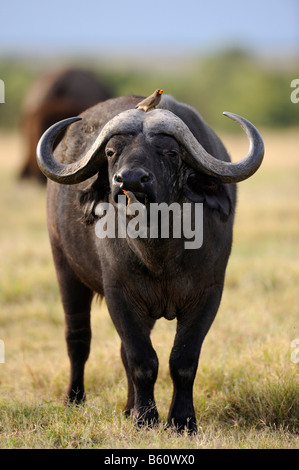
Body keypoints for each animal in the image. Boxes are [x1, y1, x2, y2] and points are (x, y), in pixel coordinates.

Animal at [36, 94, 264, 434]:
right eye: (111, 152)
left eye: (170, 152)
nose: (130, 180)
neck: (160, 253)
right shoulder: (120, 295)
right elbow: (142, 360)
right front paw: (145, 418)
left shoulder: (208, 295)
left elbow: (183, 360)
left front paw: (181, 421)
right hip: (64, 267)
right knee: (78, 338)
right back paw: (75, 399)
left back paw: (128, 407)